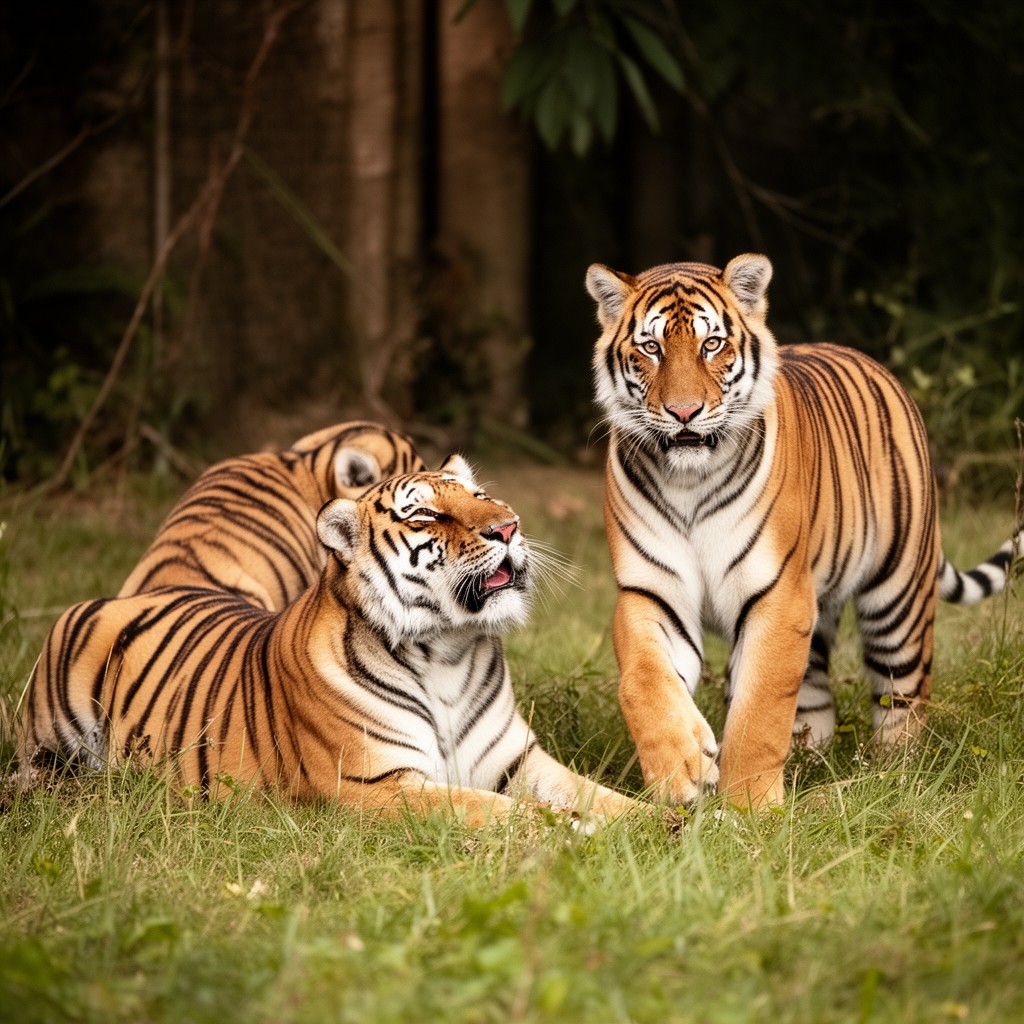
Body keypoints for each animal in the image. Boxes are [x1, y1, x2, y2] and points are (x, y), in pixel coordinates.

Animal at [18, 458, 644, 826]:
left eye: (482, 494)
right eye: (425, 514)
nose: (509, 526)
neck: (449, 651)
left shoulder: (519, 761)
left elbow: (604, 797)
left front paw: (658, 825)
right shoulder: (375, 784)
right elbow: (502, 813)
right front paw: (573, 833)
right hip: (51, 730)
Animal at [586, 253, 1022, 809]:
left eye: (712, 344)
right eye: (651, 348)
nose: (684, 413)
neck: (688, 481)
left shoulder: (777, 596)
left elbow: (761, 708)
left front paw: (748, 808)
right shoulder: (650, 592)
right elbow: (644, 681)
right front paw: (680, 772)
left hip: (898, 600)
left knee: (904, 695)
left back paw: (894, 775)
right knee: (814, 696)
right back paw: (809, 763)